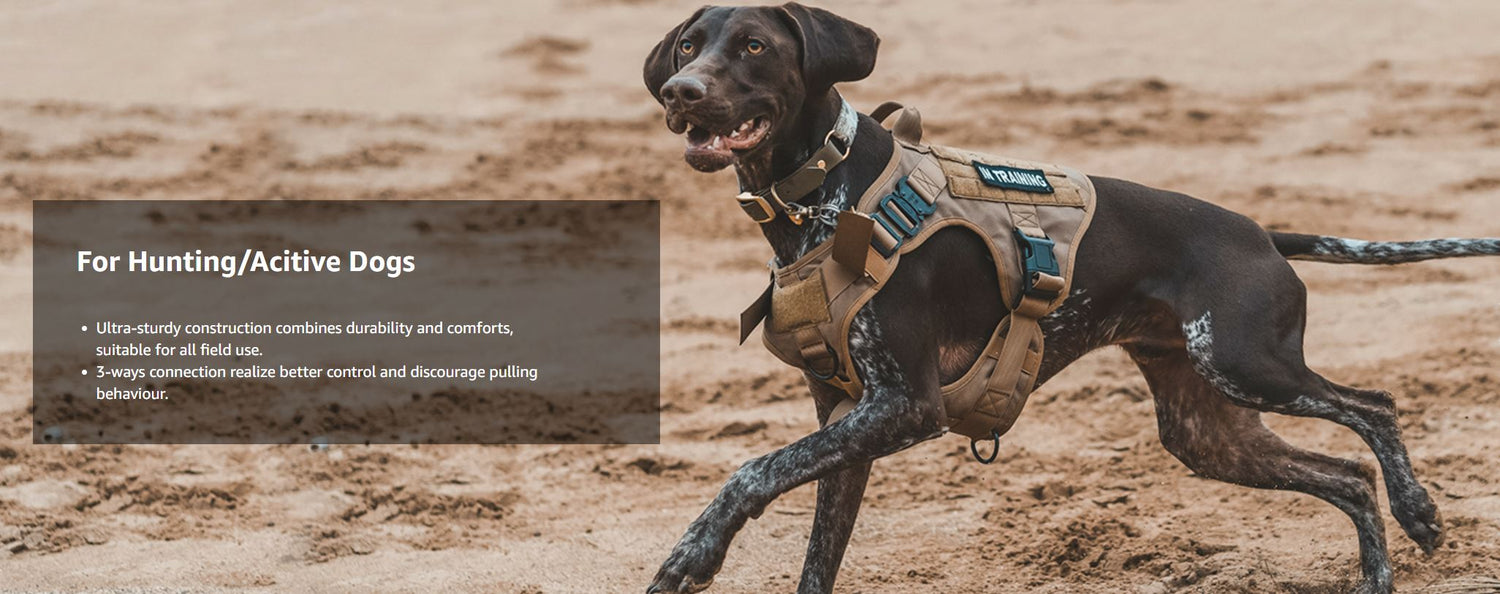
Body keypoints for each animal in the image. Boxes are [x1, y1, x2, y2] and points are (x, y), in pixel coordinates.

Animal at [642, 2, 1500, 591]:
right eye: (688, 45)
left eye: (754, 46)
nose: (682, 91)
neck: (826, 189)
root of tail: (1262, 234)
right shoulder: (846, 421)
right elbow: (814, 550)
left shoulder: (903, 405)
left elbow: (751, 470)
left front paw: (691, 554)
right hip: (1210, 431)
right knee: (1347, 477)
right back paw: (1381, 566)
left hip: (1246, 362)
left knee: (1374, 408)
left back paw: (1420, 511)